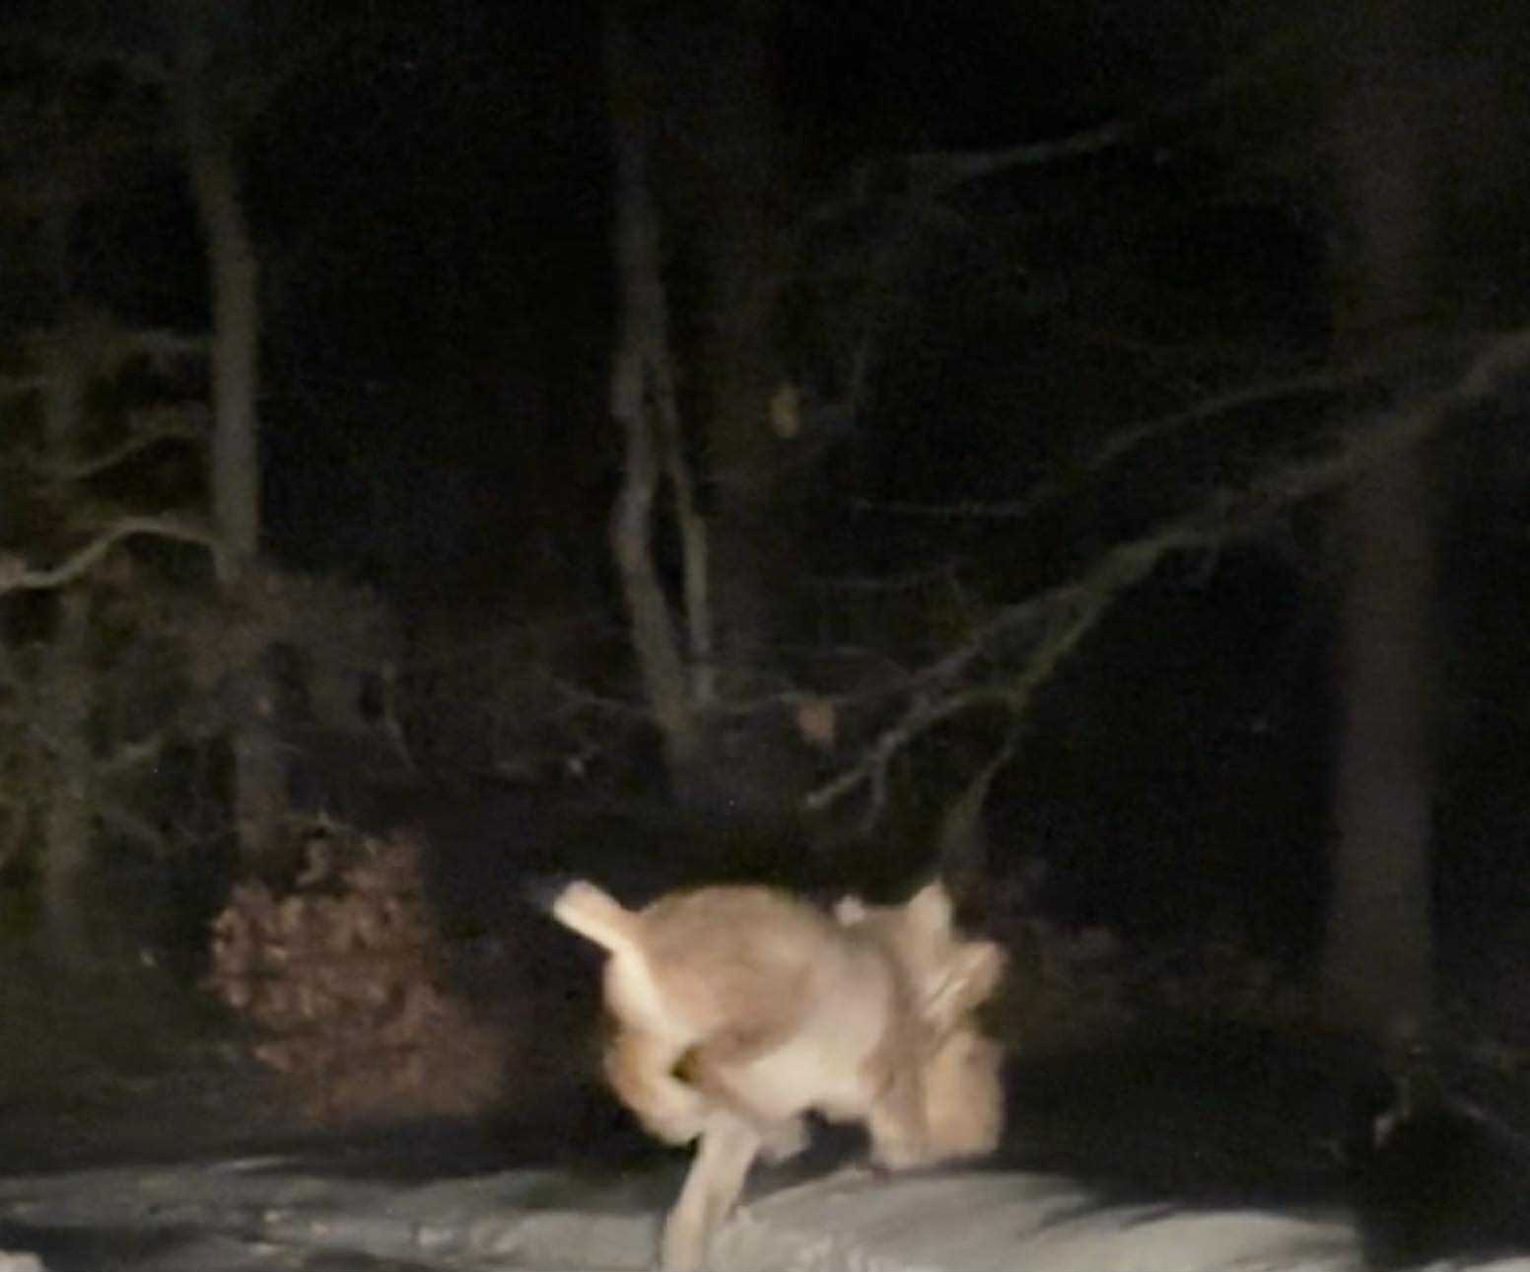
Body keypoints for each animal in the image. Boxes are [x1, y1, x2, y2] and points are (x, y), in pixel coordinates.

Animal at [548, 877, 1006, 1270]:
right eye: (975, 1060)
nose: (986, 960)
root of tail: (640, 928)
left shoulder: (735, 1133)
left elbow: (702, 1199)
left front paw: (683, 1251)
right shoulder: (890, 1073)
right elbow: (906, 1132)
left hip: (656, 1032)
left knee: (629, 1066)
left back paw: (693, 1118)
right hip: (780, 1003)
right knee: (706, 1060)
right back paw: (763, 1130)